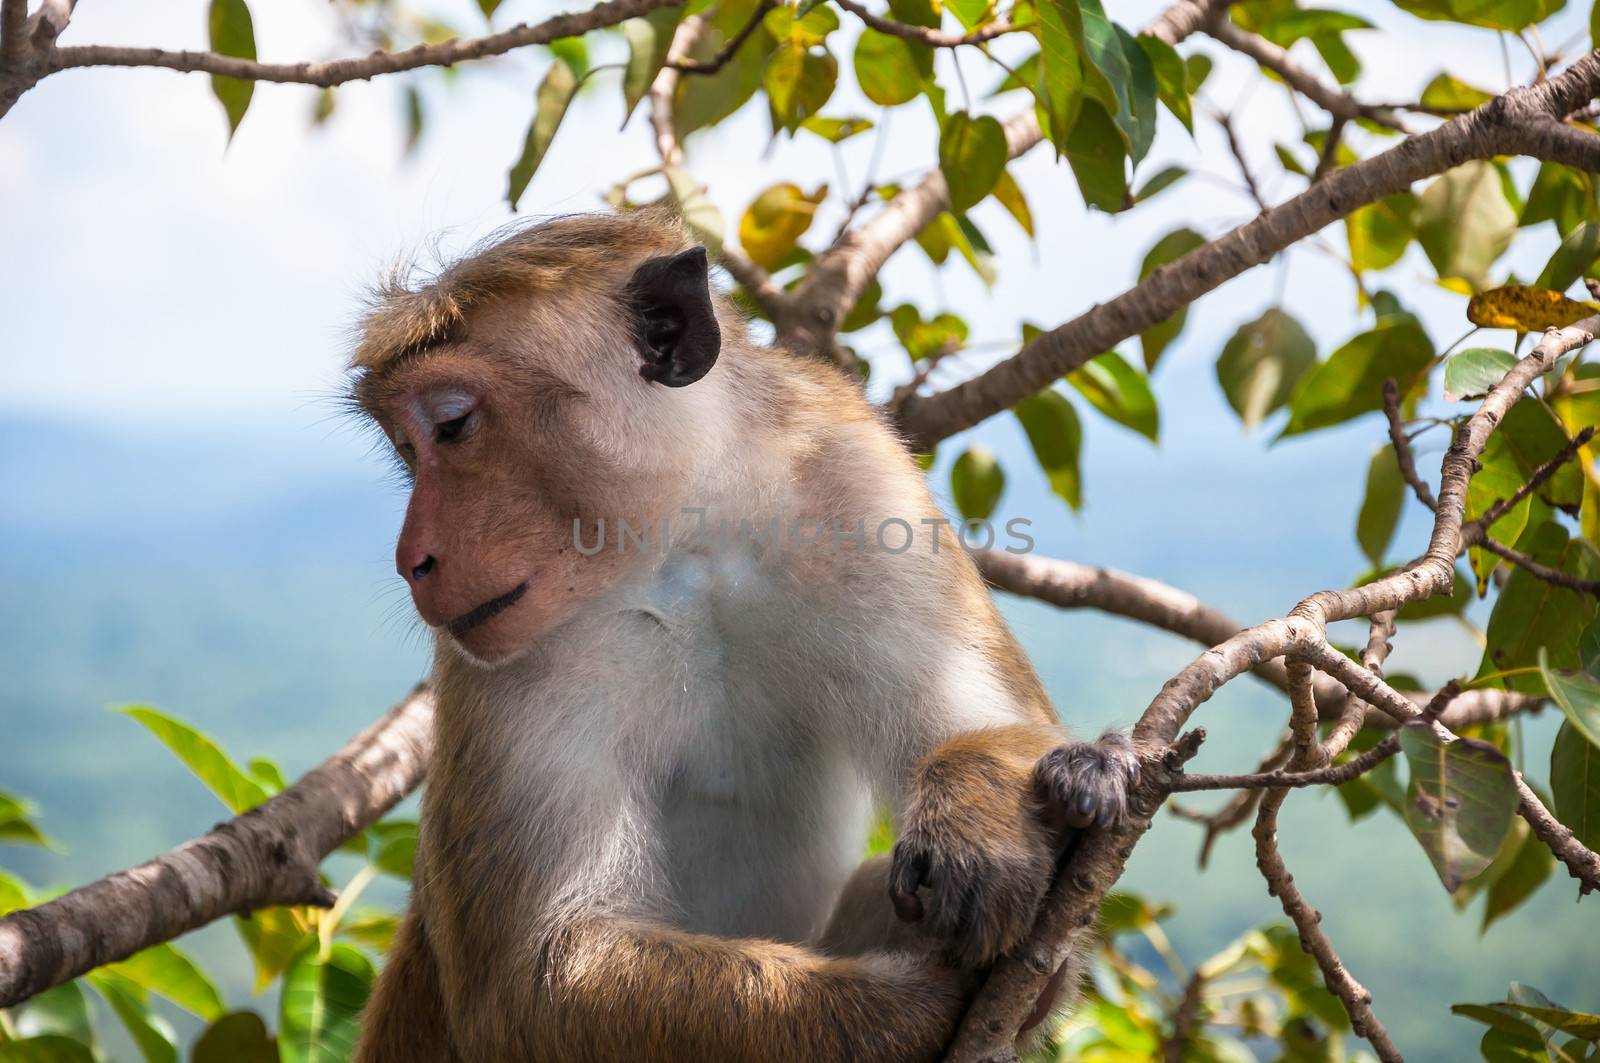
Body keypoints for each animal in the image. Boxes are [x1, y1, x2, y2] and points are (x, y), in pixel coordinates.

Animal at [350, 209, 1139, 1063]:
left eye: (452, 425)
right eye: (408, 448)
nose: (412, 559)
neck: (688, 545)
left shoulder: (860, 485)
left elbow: (996, 724)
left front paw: (1005, 809)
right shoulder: (509, 659)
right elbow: (541, 973)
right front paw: (922, 1005)